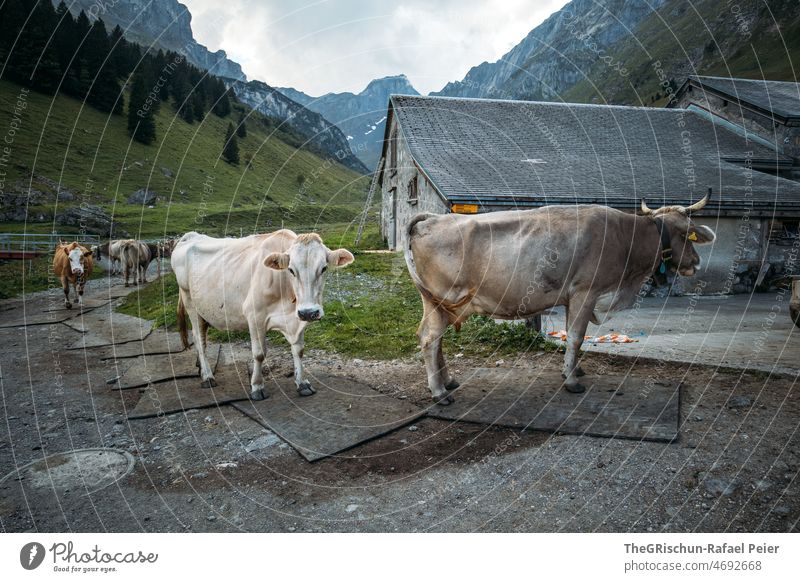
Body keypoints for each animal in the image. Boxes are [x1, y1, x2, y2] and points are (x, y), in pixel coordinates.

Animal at [172, 230, 354, 400]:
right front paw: (257, 387)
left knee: (201, 338)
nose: (309, 312)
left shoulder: (297, 318)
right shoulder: (254, 316)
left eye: (324, 268)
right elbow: (259, 354)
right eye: (291, 270)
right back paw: (208, 377)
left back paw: (201, 370)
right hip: (189, 301)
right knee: (199, 340)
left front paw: (302, 383)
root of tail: (190, 236)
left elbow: (299, 350)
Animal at [404, 194, 716, 404]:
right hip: (441, 299)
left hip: (440, 304)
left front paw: (574, 369)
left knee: (434, 339)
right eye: (687, 235)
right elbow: (577, 336)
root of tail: (433, 218)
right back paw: (439, 392)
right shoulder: (585, 292)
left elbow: (572, 336)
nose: (697, 262)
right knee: (430, 338)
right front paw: (572, 380)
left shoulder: (570, 298)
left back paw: (448, 381)